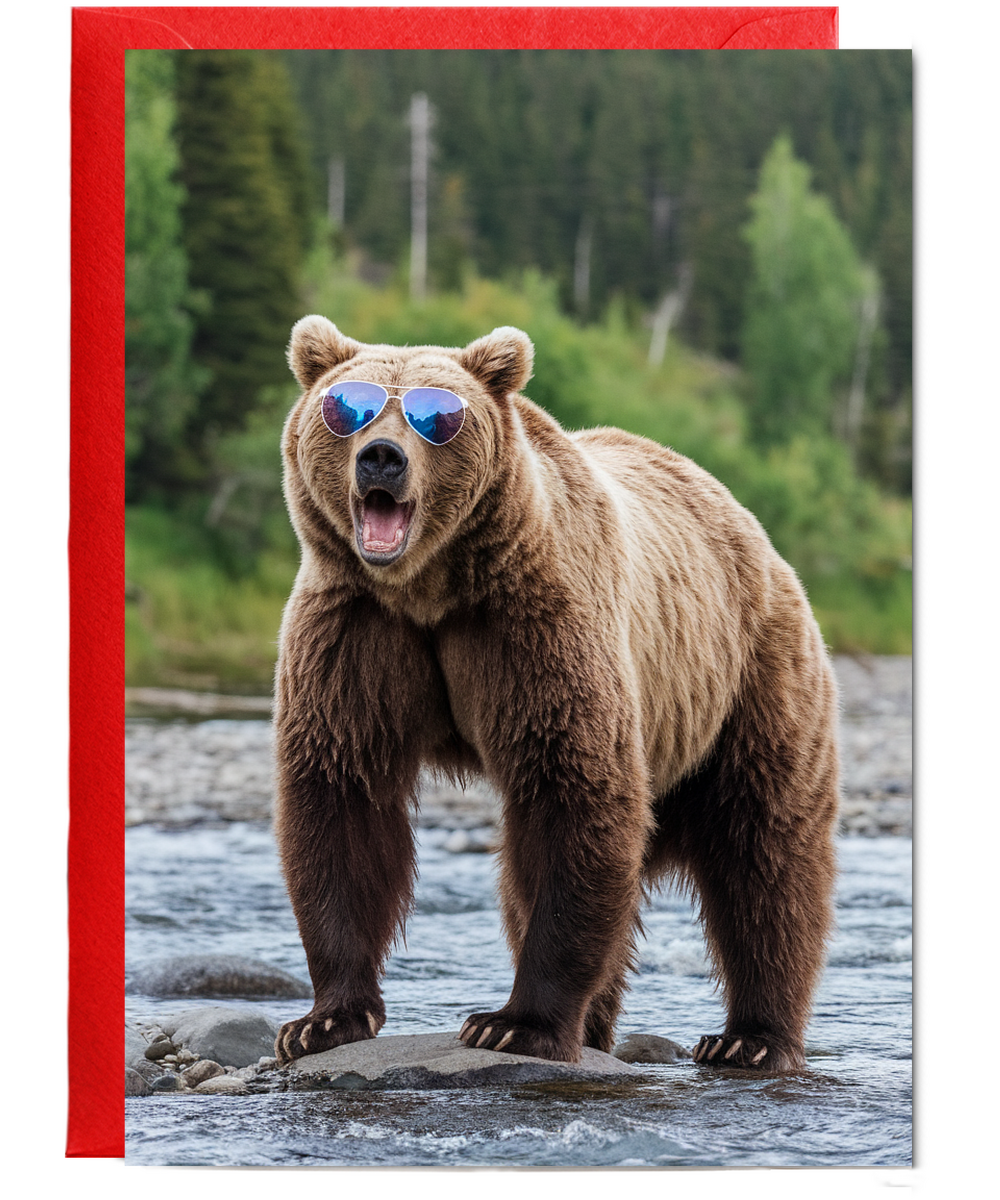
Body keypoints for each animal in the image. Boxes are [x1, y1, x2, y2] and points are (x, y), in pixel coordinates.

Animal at [272, 317, 839, 1072]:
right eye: (347, 409)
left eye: (437, 417)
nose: (382, 458)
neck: (430, 588)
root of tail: (757, 533)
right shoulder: (357, 630)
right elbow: (341, 796)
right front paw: (323, 1020)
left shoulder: (536, 623)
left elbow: (570, 791)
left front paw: (515, 1024)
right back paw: (601, 1029)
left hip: (749, 682)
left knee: (766, 856)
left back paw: (749, 1038)